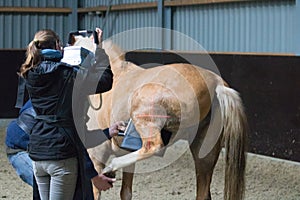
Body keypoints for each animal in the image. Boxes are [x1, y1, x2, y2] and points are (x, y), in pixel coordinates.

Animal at [71, 36, 247, 200]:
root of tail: (216, 83)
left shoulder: (96, 156)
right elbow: (126, 192)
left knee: (153, 146)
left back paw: (112, 167)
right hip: (204, 153)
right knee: (203, 192)